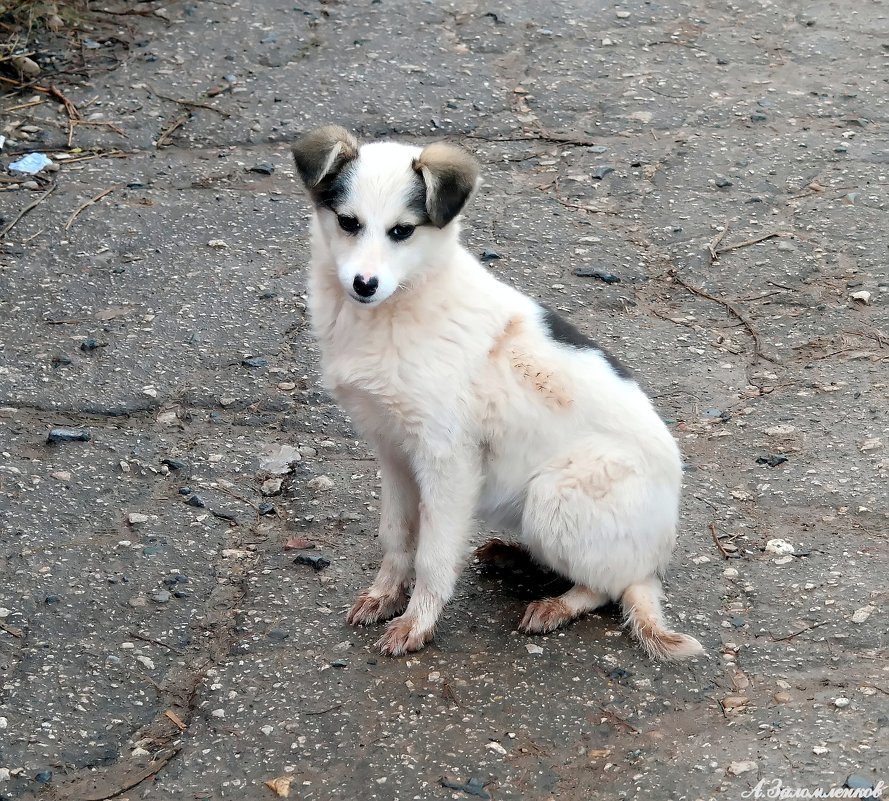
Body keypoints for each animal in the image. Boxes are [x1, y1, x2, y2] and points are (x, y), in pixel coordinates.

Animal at [294, 126, 704, 664]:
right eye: (348, 223)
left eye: (402, 231)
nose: (364, 284)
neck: (402, 304)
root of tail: (656, 561)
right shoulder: (393, 451)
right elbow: (397, 536)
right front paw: (385, 595)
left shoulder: (448, 459)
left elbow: (433, 554)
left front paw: (417, 622)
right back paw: (514, 558)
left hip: (554, 496)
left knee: (609, 586)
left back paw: (558, 603)